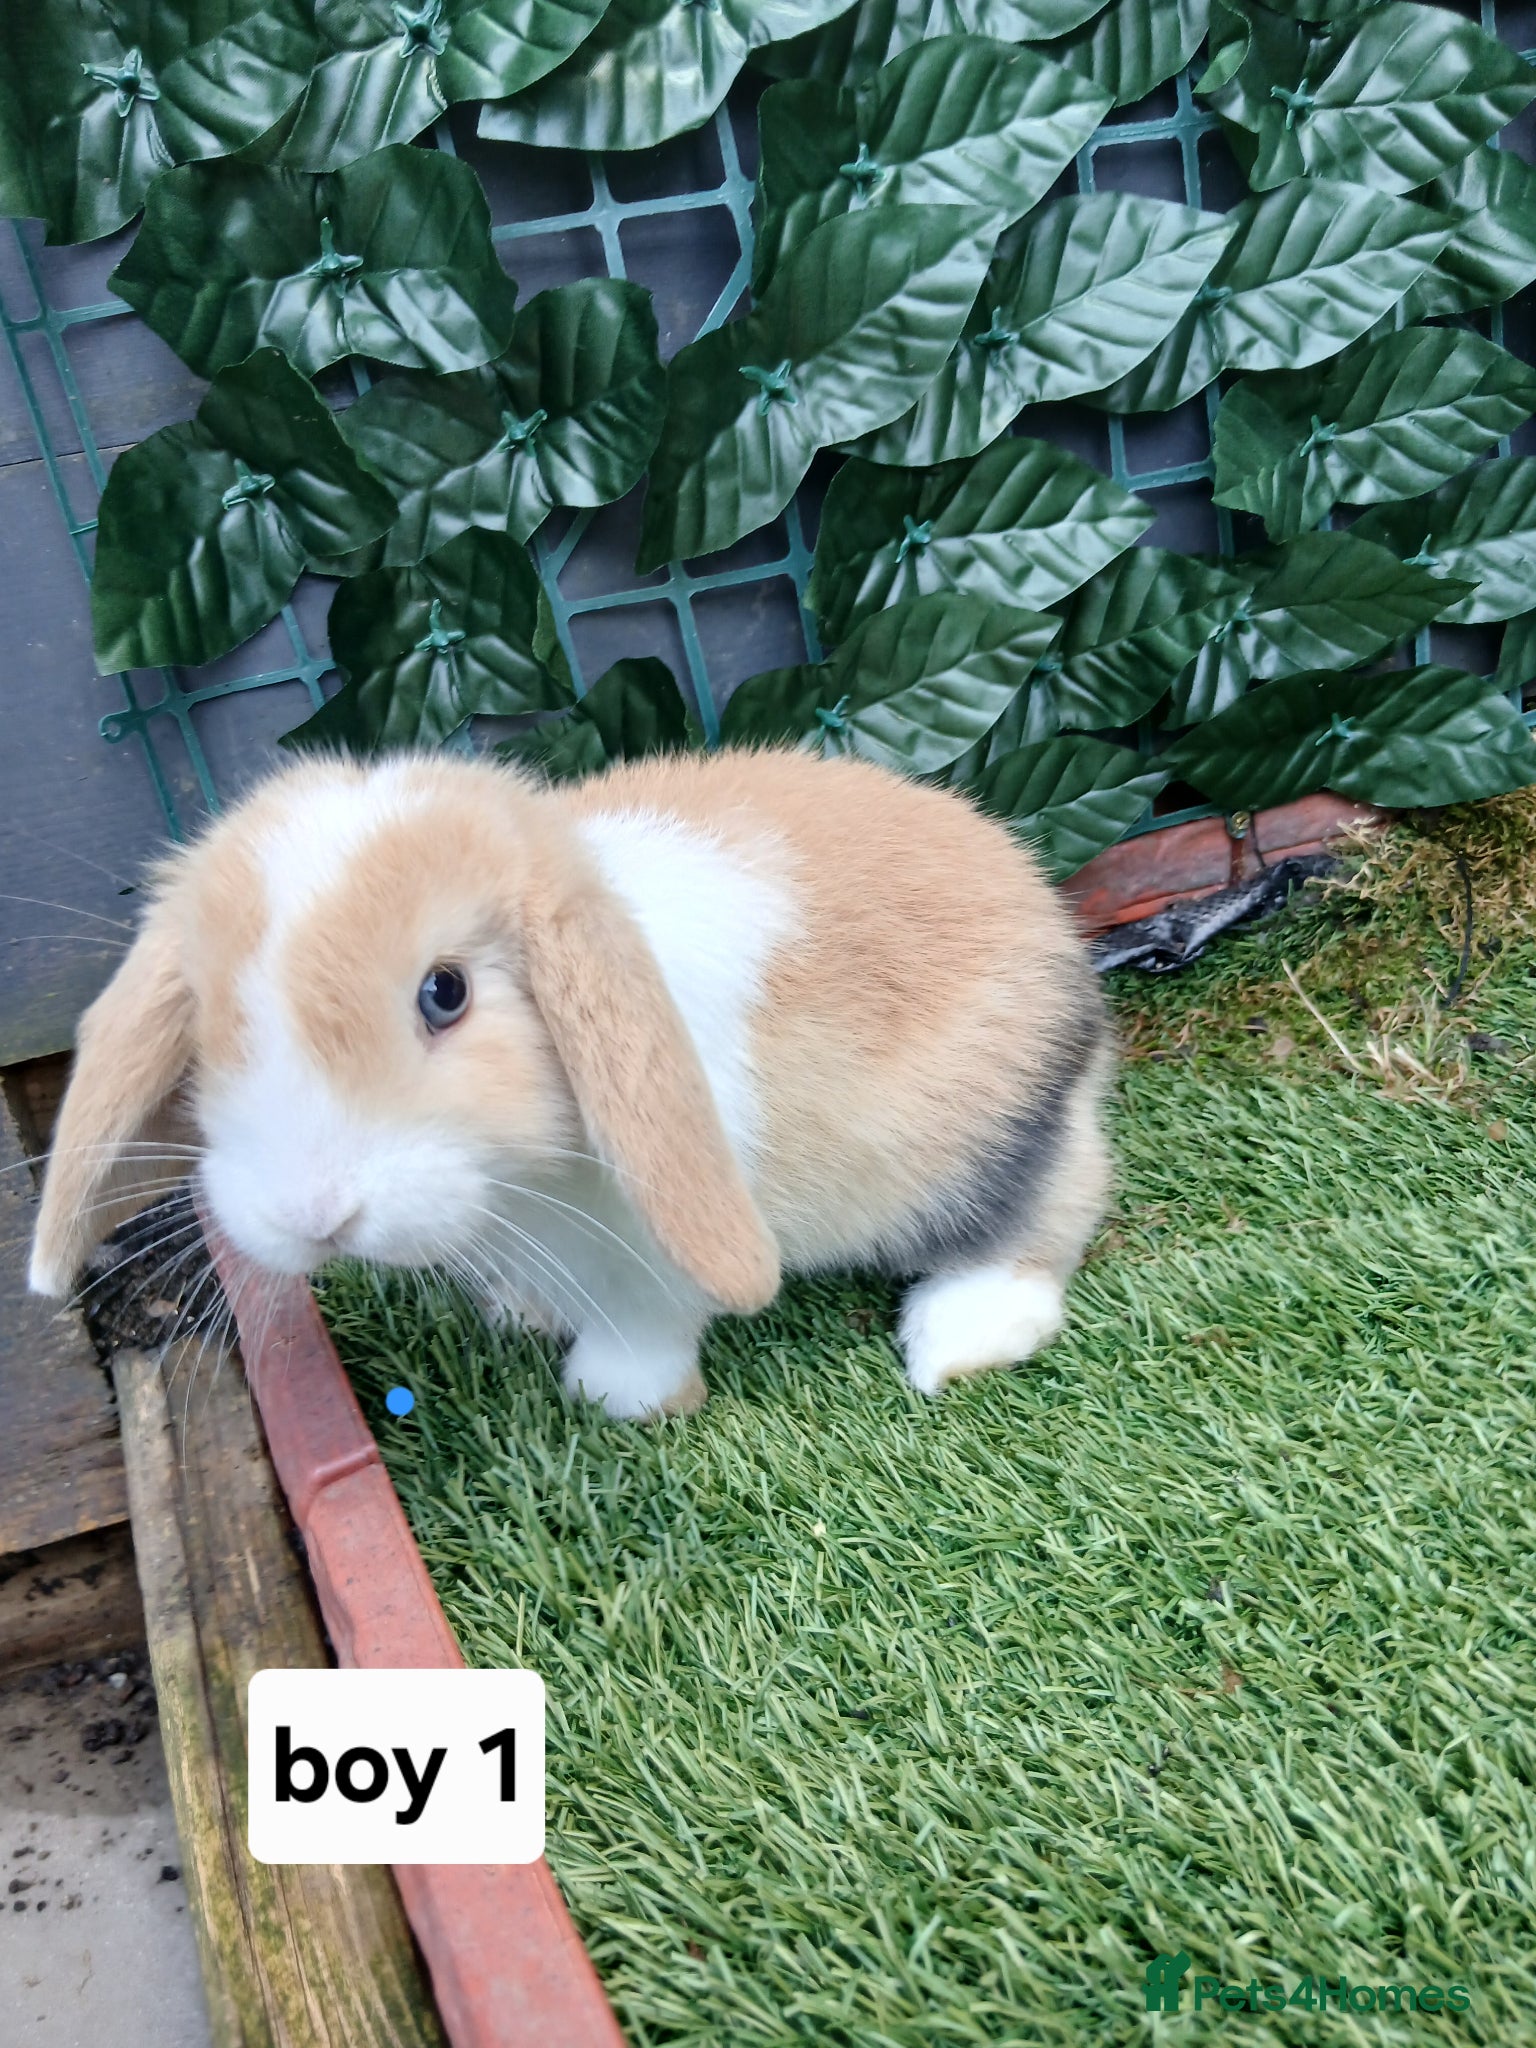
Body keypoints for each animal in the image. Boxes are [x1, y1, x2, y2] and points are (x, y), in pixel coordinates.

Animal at [29, 746, 1112, 1418]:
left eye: (446, 992)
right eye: (211, 1022)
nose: (314, 1214)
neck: (515, 1187)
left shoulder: (650, 1247)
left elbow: (643, 1324)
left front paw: (616, 1398)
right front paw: (525, 1313)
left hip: (989, 1144)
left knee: (1040, 1222)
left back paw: (956, 1338)